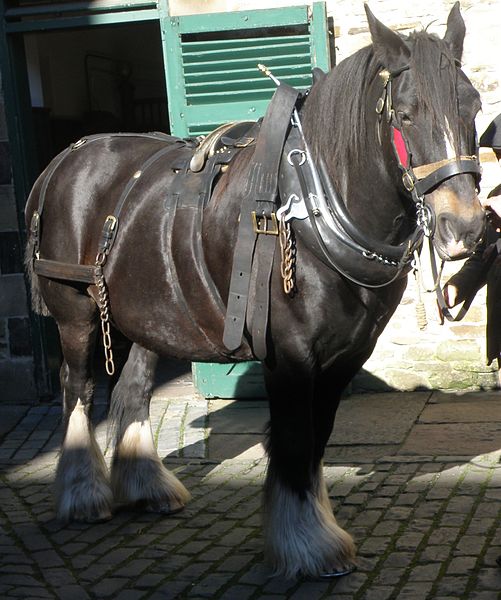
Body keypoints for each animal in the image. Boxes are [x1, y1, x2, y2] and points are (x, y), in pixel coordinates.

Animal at [23, 2, 484, 580]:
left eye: (475, 107)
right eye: (404, 115)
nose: (464, 227)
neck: (311, 205)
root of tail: (67, 158)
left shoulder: (345, 355)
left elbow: (316, 438)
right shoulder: (290, 354)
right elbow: (293, 440)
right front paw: (306, 545)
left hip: (150, 313)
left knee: (131, 390)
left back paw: (146, 486)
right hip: (76, 315)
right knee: (79, 391)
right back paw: (83, 494)